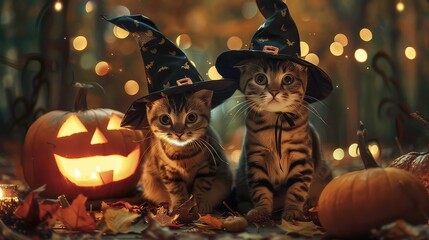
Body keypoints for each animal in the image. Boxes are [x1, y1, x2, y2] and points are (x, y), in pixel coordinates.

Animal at [234, 57, 332, 220]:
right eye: (260, 79)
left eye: (288, 79)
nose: (274, 91)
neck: (274, 121)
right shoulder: (257, 159)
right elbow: (260, 188)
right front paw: (261, 210)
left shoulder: (300, 157)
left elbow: (297, 188)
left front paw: (293, 210)